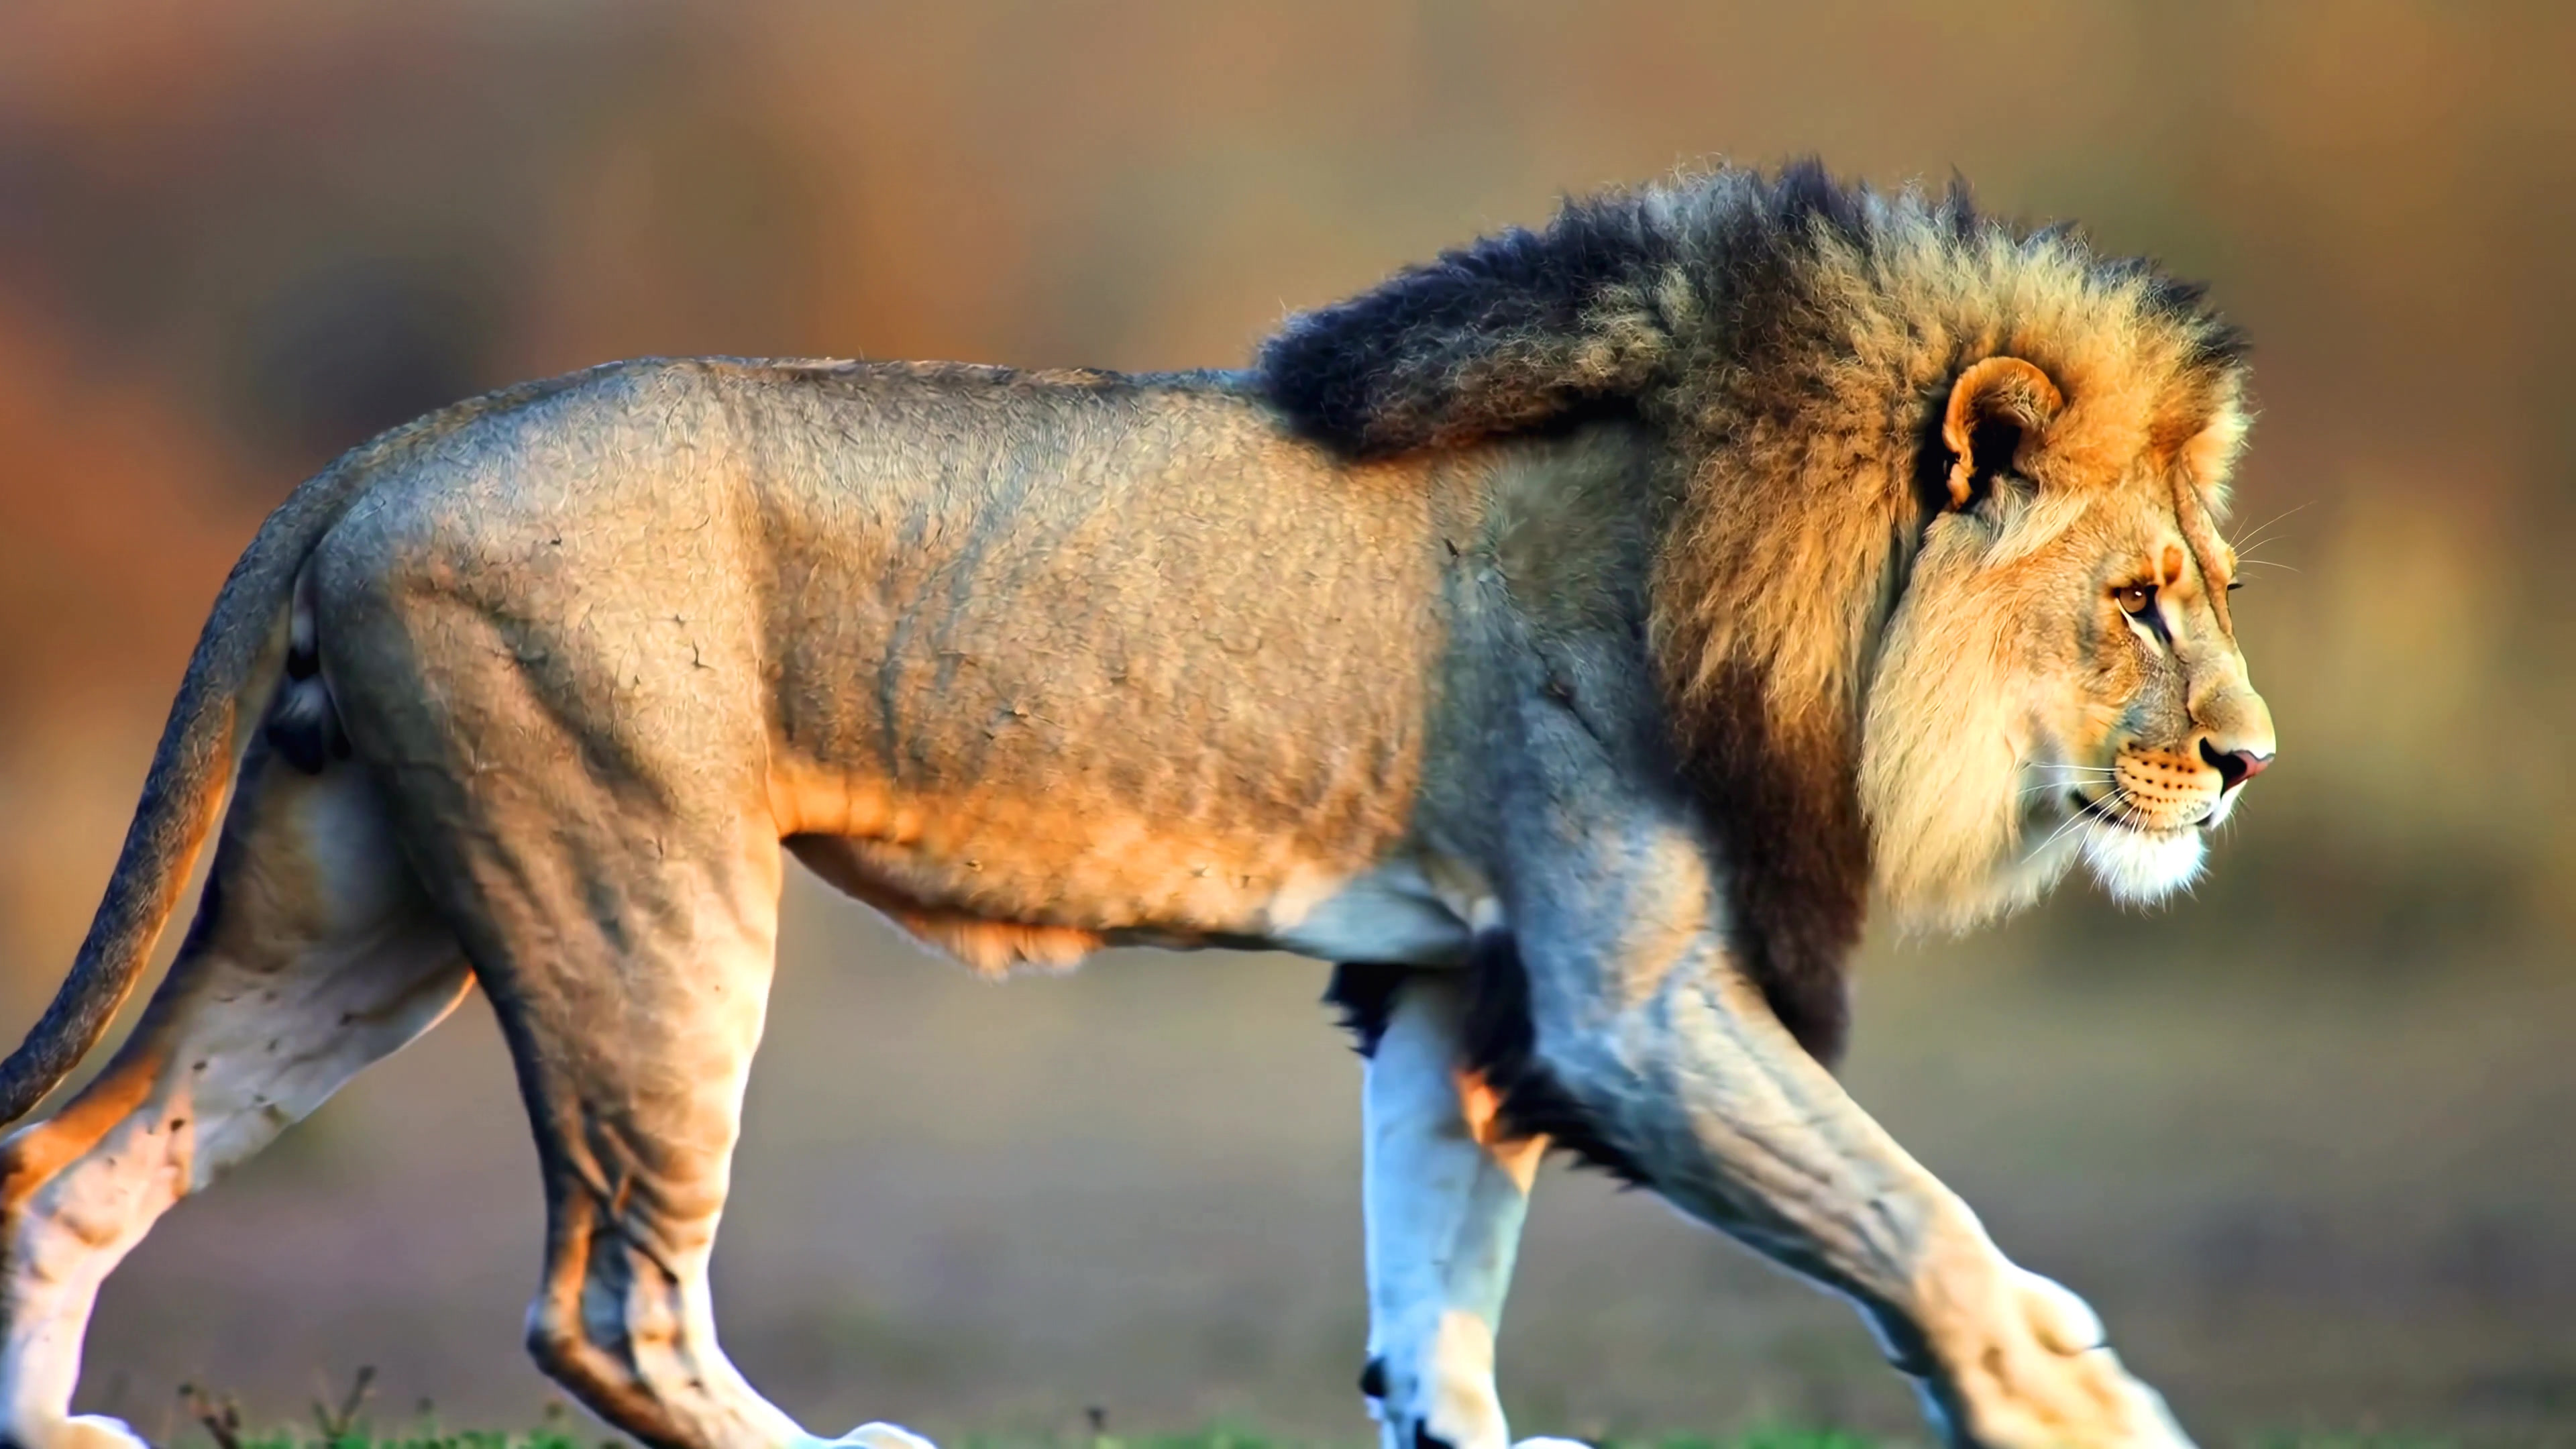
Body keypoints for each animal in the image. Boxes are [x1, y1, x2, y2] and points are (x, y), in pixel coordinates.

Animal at [0, 161, 2272, 1449]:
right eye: (2135, 602)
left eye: (2213, 591)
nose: (2247, 761)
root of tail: (401, 440)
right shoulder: (1630, 1001)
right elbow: (1917, 1224)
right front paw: (2083, 1408)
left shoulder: (1464, 983)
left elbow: (1436, 1307)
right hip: (645, 900)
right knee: (606, 1308)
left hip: (354, 923)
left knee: (67, 1170)